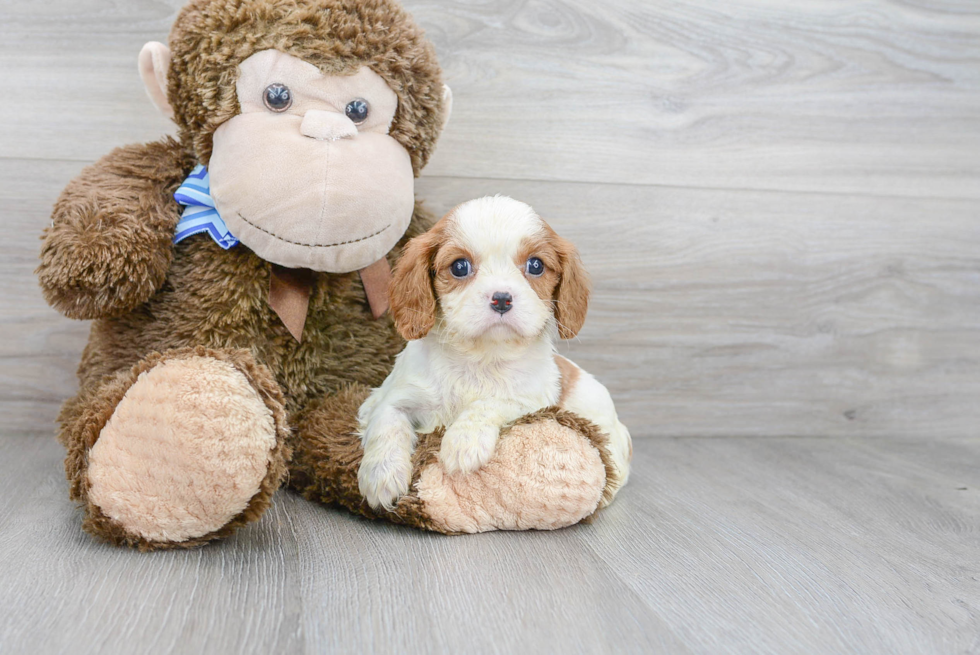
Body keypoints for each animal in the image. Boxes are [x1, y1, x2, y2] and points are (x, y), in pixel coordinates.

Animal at [356, 196, 632, 512]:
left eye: (535, 265)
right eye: (459, 267)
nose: (502, 299)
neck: (480, 355)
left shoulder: (532, 399)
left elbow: (489, 402)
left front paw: (463, 441)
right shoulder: (402, 395)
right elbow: (387, 422)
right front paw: (381, 475)